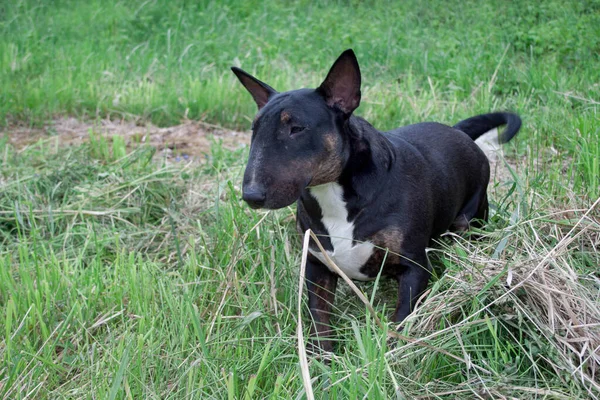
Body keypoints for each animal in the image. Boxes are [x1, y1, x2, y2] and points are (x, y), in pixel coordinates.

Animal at [230, 48, 520, 352]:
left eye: (297, 128)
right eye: (254, 129)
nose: (251, 195)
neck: (334, 193)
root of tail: (459, 132)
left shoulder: (414, 268)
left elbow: (402, 319)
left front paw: (394, 354)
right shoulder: (316, 266)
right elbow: (320, 320)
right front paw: (323, 360)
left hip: (471, 218)